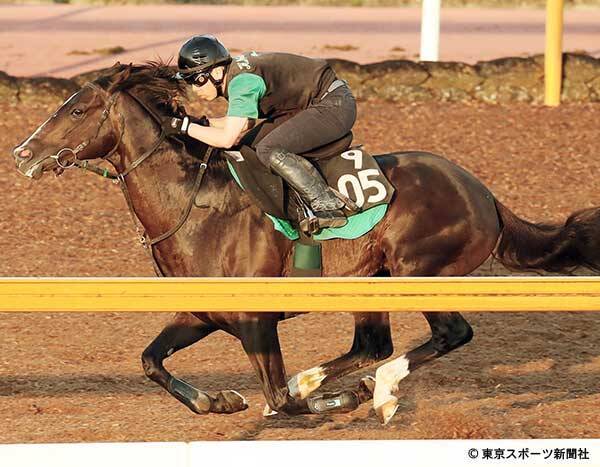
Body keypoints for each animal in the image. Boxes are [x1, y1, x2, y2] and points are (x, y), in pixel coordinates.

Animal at [9, 64, 600, 426]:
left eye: (77, 110)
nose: (22, 153)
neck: (195, 209)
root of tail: (483, 193)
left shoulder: (256, 321)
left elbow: (279, 399)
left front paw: (335, 397)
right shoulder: (200, 312)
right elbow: (151, 361)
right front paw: (219, 399)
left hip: (419, 272)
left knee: (448, 334)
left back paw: (379, 390)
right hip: (371, 281)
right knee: (373, 345)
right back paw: (328, 378)